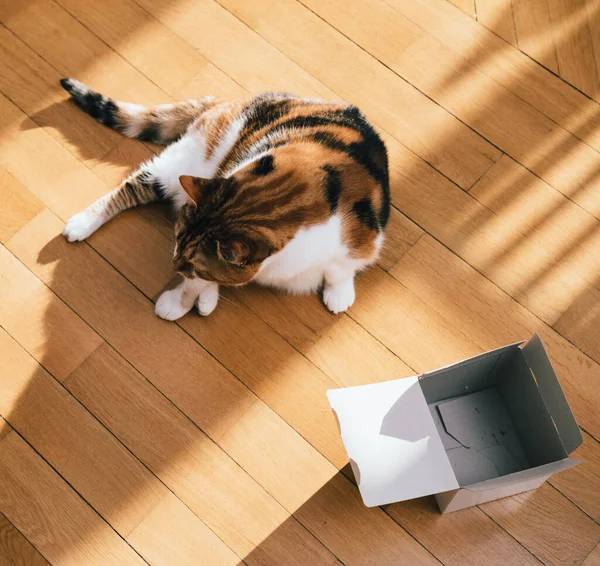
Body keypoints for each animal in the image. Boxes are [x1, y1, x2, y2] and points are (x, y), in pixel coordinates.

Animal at [59, 77, 390, 322]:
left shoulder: (363, 236)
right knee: (134, 184)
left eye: (188, 257)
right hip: (185, 162)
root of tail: (231, 101)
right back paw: (82, 223)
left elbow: (341, 268)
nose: (174, 265)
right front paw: (177, 302)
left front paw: (339, 294)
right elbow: (199, 283)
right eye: (176, 241)